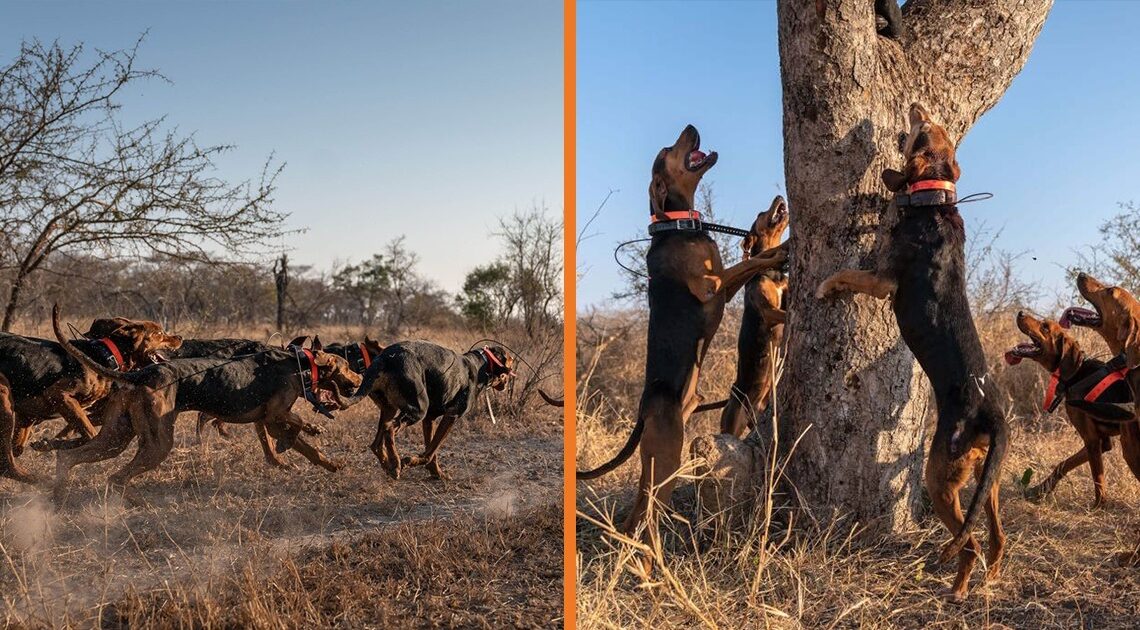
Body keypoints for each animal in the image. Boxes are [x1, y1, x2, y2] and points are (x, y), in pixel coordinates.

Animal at [0, 314, 181, 480]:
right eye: (159, 333)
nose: (179, 337)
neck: (105, 355)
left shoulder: (28, 416)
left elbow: (21, 446)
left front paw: (49, 443)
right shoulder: (60, 396)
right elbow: (91, 435)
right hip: (5, 395)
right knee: (7, 465)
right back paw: (41, 481)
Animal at [47, 305, 360, 496]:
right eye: (345, 366)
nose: (358, 381)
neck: (300, 362)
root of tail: (140, 374)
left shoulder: (269, 421)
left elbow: (309, 450)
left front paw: (332, 466)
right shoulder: (273, 418)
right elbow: (296, 425)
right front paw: (306, 432)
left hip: (115, 437)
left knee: (69, 457)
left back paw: (58, 495)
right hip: (157, 443)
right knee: (116, 477)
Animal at [339, 341, 515, 478]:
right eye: (511, 361)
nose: (510, 378)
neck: (482, 364)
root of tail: (384, 358)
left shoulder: (429, 418)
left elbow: (431, 451)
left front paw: (436, 473)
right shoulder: (451, 416)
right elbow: (431, 451)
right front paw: (410, 461)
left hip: (390, 409)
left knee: (376, 443)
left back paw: (389, 467)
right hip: (418, 409)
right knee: (389, 429)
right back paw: (396, 464)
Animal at [1012, 309, 1135, 505]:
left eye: (1045, 327)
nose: (1021, 312)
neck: (1077, 372)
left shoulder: (1092, 441)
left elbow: (1098, 480)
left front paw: (1098, 506)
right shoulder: (1101, 442)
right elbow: (1063, 464)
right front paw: (1041, 489)